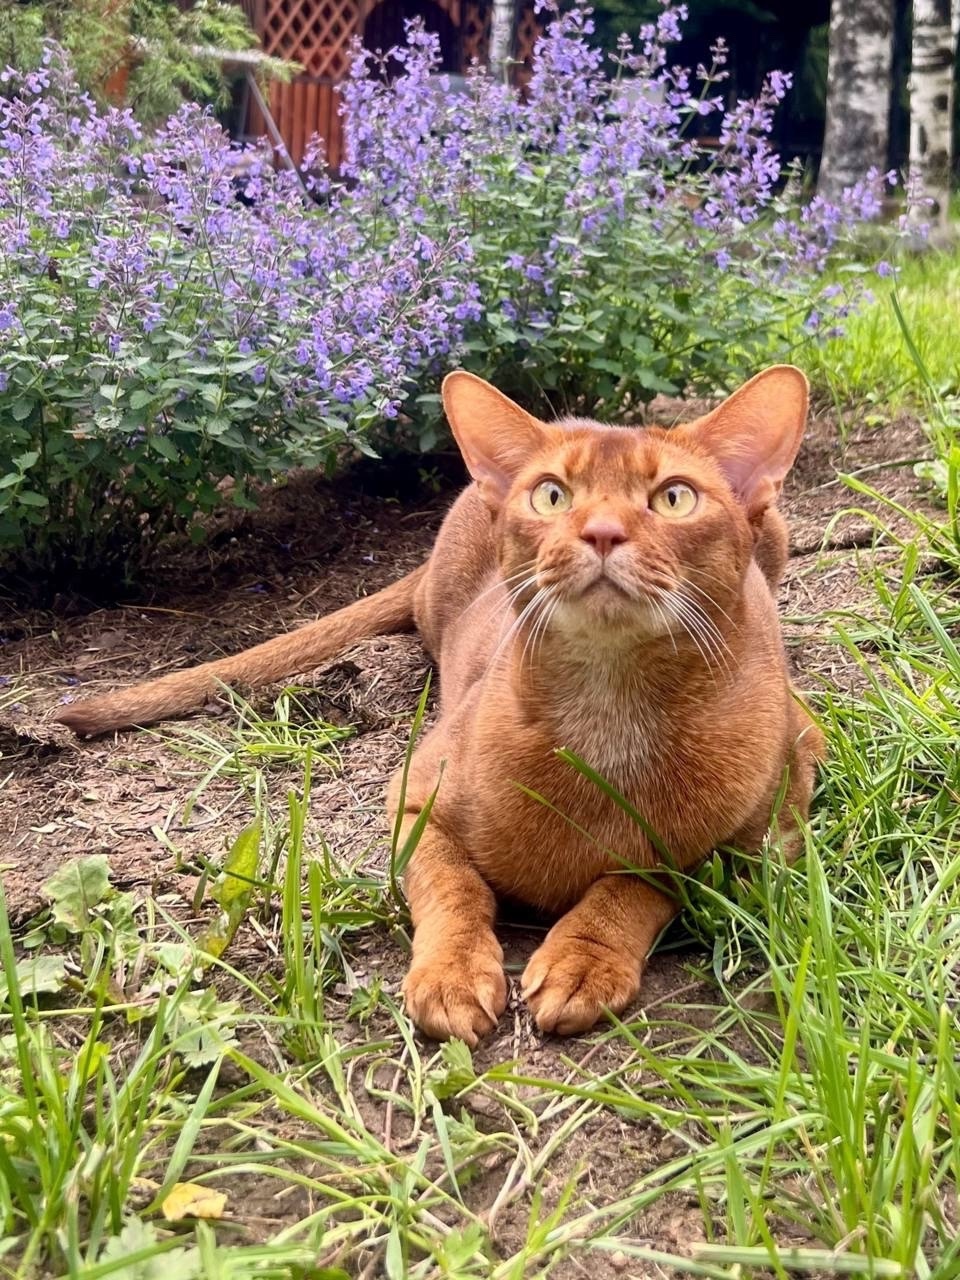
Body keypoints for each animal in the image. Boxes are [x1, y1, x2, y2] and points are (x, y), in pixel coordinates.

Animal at [57, 367, 824, 1043]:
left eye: (674, 498)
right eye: (551, 496)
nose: (602, 532)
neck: (608, 717)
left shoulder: (755, 835)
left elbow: (645, 876)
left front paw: (583, 958)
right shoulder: (414, 795)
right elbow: (454, 889)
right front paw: (452, 975)